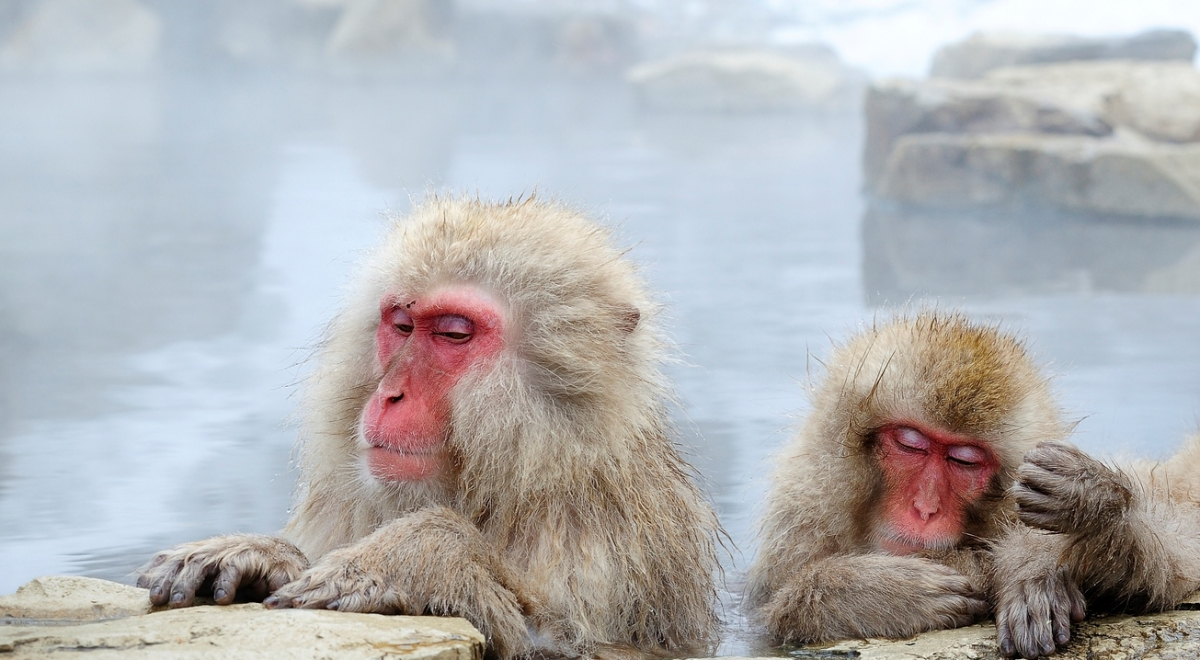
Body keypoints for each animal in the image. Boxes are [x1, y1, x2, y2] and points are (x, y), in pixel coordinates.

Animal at [136, 196, 723, 659]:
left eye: (454, 334)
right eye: (400, 324)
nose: (389, 394)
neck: (523, 475)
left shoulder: (610, 540)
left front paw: (419, 556)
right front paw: (259, 554)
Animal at [745, 311, 1069, 646]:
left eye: (963, 461)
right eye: (910, 444)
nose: (925, 509)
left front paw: (1029, 568)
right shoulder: (803, 511)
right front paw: (879, 593)